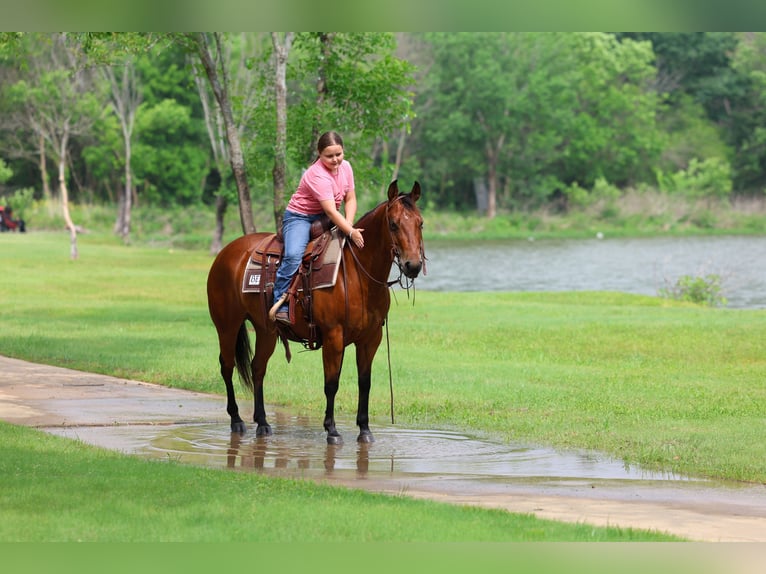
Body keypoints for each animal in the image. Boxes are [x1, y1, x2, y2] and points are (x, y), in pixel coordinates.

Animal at [206, 180, 425, 444]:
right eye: (393, 224)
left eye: (420, 223)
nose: (413, 265)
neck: (358, 274)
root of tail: (226, 252)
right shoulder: (333, 336)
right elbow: (331, 384)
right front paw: (331, 430)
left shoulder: (370, 338)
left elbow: (365, 383)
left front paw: (364, 430)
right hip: (227, 325)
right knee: (227, 366)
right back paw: (237, 420)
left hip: (265, 330)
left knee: (257, 368)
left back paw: (263, 423)